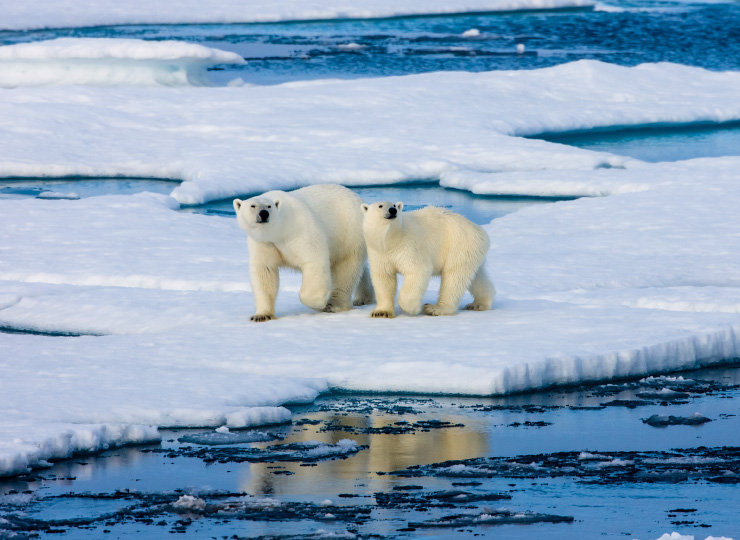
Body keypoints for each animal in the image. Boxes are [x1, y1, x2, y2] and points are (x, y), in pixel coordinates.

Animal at [233, 184, 372, 322]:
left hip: (348, 232)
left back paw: (334, 305)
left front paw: (319, 304)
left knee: (346, 268)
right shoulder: (264, 243)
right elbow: (264, 271)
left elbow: (313, 261)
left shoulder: (300, 231)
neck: (280, 230)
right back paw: (363, 298)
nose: (263, 214)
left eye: (269, 206)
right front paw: (261, 315)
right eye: (252, 205)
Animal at [362, 204, 494, 320]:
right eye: (380, 206)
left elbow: (418, 270)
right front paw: (381, 312)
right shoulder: (380, 253)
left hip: (458, 245)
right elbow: (384, 277)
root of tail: (479, 230)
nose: (392, 210)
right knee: (476, 277)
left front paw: (412, 309)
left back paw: (435, 308)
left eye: (394, 206)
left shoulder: (409, 246)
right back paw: (479, 304)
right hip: (471, 251)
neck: (391, 240)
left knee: (453, 277)